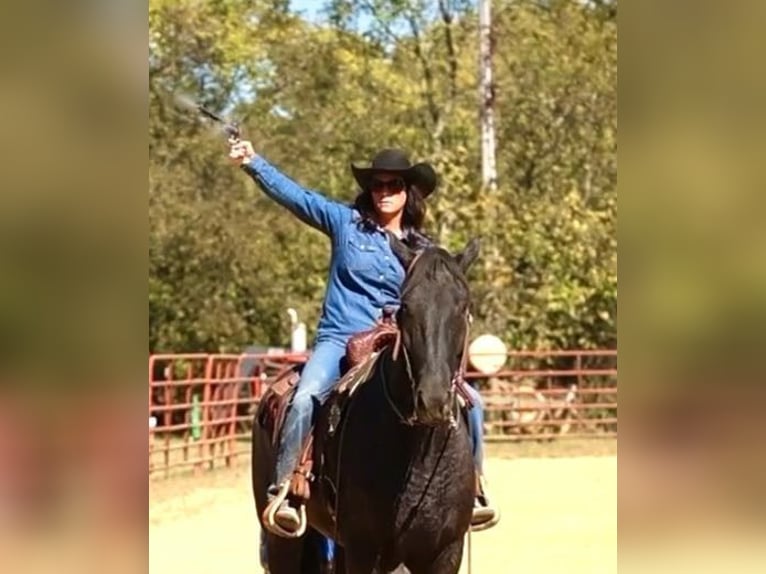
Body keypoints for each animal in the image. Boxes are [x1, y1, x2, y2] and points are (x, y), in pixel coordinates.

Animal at [252, 236, 480, 572]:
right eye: (405, 307)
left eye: (463, 306)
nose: (433, 398)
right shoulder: (365, 549)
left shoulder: (446, 550)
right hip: (284, 541)